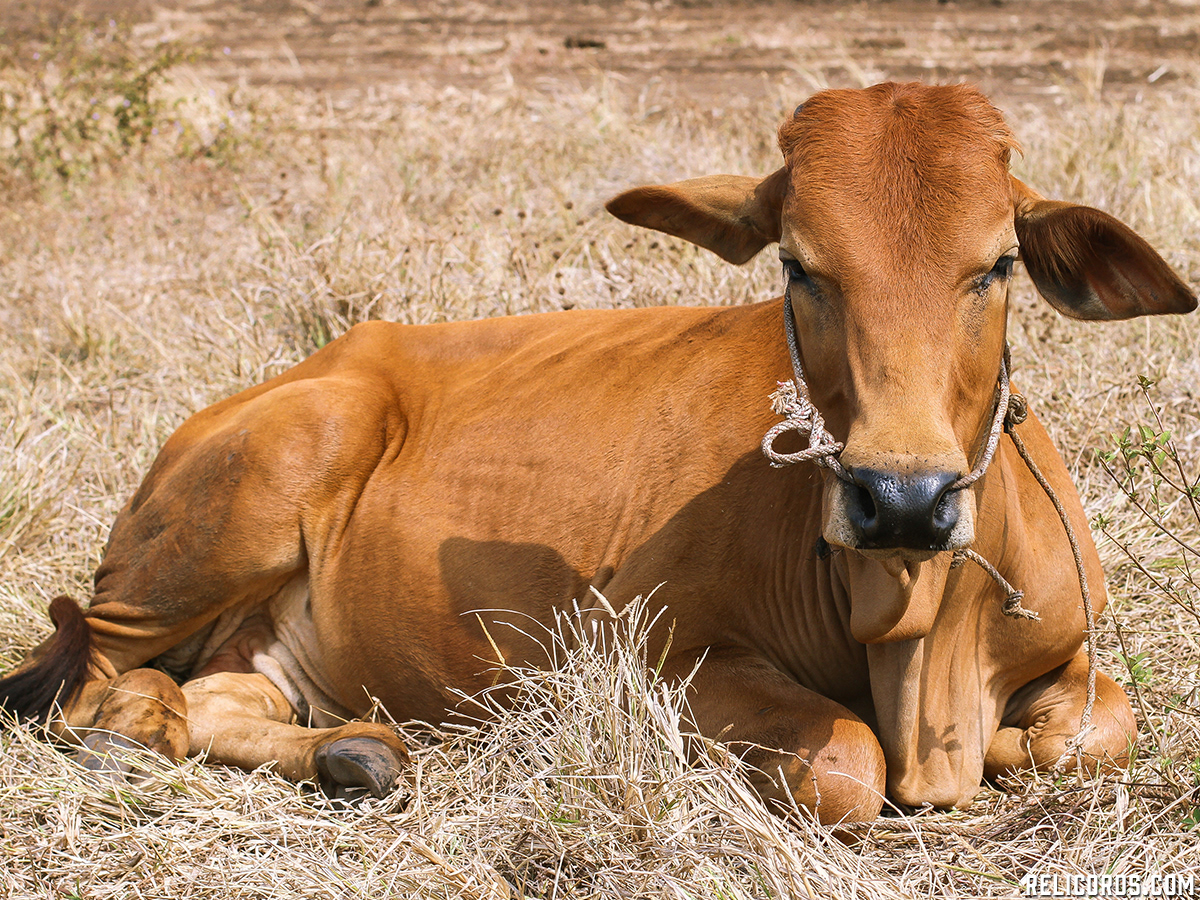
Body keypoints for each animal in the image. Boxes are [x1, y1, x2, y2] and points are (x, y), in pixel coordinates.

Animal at [1, 82, 1194, 825]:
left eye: (997, 263)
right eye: (799, 266)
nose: (901, 497)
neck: (919, 639)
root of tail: (323, 364)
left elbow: (1098, 730)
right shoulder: (654, 661)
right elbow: (848, 763)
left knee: (214, 700)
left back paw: (360, 753)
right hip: (251, 492)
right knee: (96, 687)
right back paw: (133, 737)